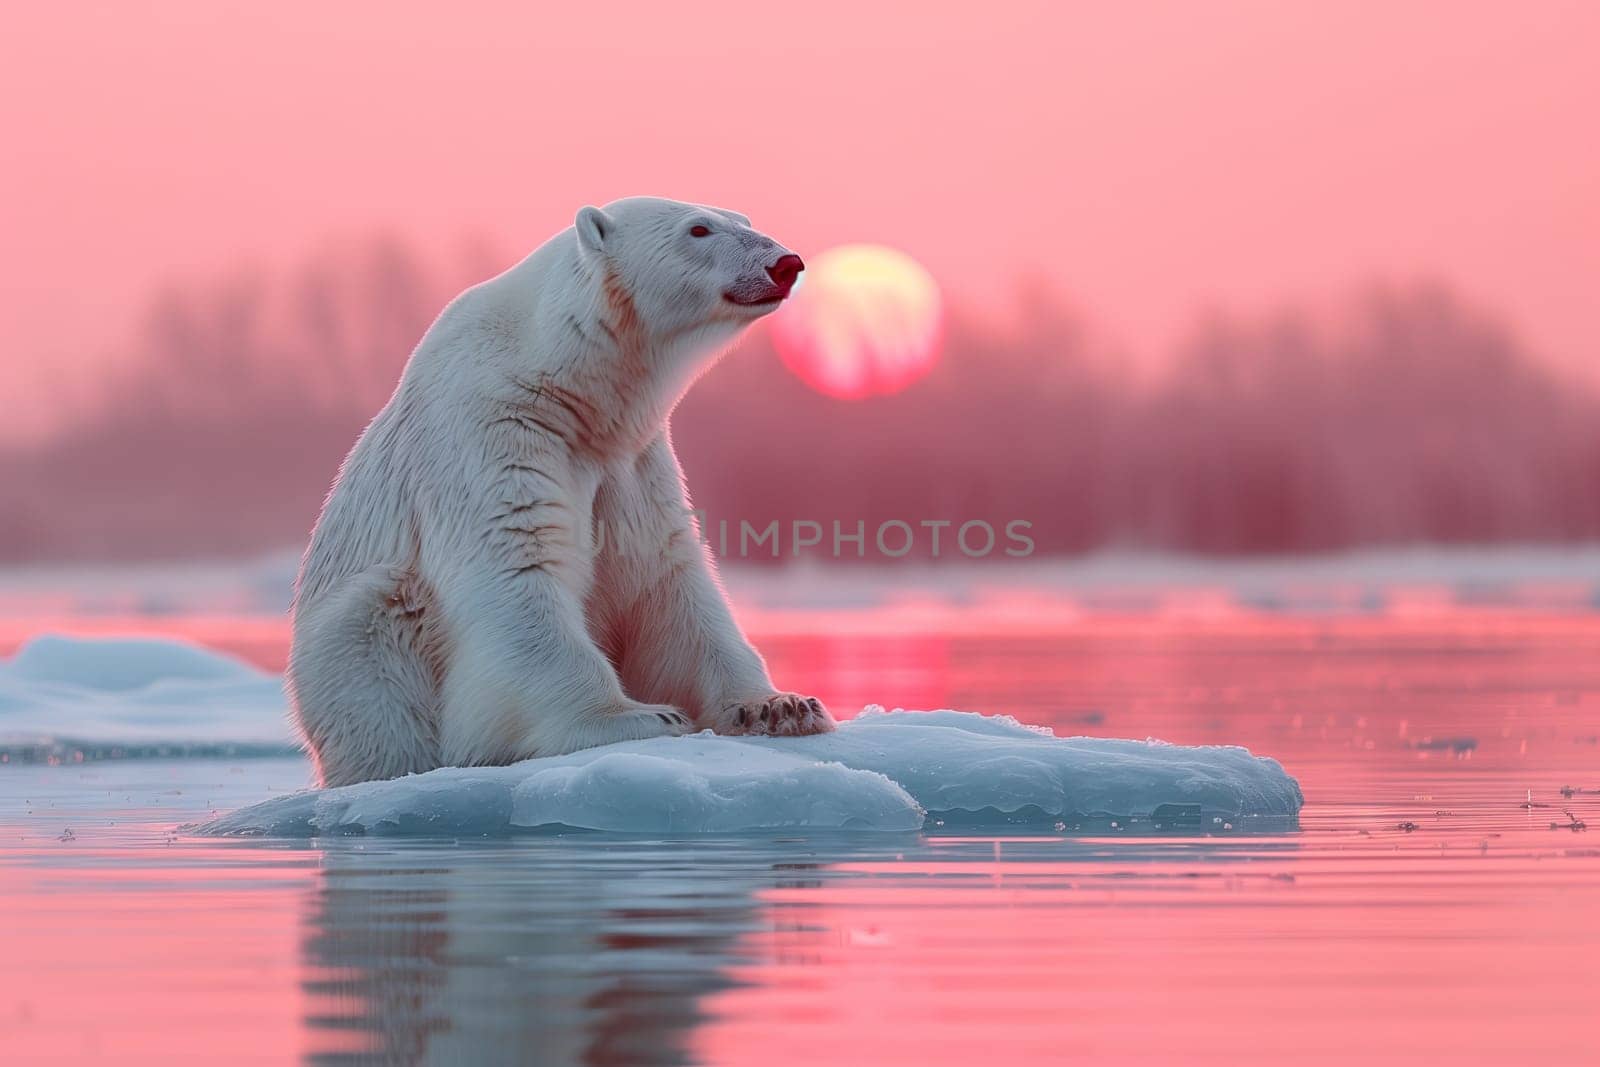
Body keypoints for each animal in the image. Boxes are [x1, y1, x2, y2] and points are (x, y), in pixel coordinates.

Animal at [291, 198, 838, 783]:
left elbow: (669, 577)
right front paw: (641, 717)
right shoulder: (493, 428)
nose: (786, 264)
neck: (563, 384)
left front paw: (781, 706)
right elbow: (517, 570)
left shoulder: (633, 460)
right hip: (364, 647)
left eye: (744, 220)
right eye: (698, 228)